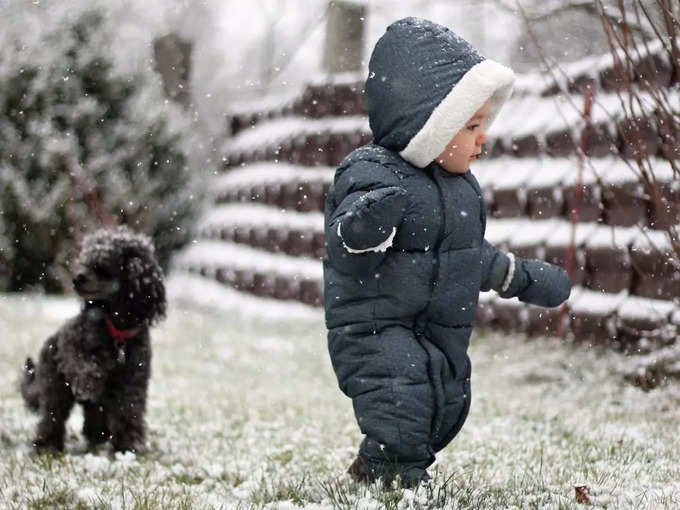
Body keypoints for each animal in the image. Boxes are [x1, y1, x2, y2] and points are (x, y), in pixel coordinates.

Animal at [21, 228, 166, 454]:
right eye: (85, 263)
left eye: (101, 268)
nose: (76, 279)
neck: (116, 330)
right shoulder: (70, 343)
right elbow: (81, 363)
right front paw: (89, 382)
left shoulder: (133, 379)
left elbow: (129, 410)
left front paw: (128, 446)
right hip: (55, 384)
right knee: (53, 415)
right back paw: (47, 445)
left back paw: (96, 436)